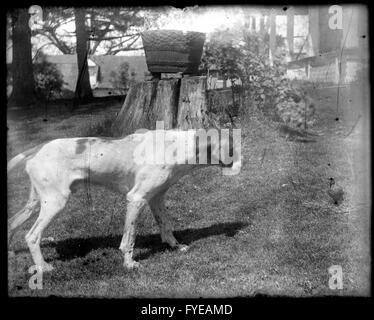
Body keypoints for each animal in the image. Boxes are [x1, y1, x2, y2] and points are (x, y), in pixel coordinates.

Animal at [9, 129, 243, 272]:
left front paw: (175, 246)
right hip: (55, 203)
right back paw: (43, 267)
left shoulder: (156, 198)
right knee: (31, 236)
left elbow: (166, 225)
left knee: (12, 224)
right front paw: (129, 263)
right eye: (232, 148)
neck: (176, 147)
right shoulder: (136, 199)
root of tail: (38, 148)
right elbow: (129, 238)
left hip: (36, 203)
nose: (241, 165)